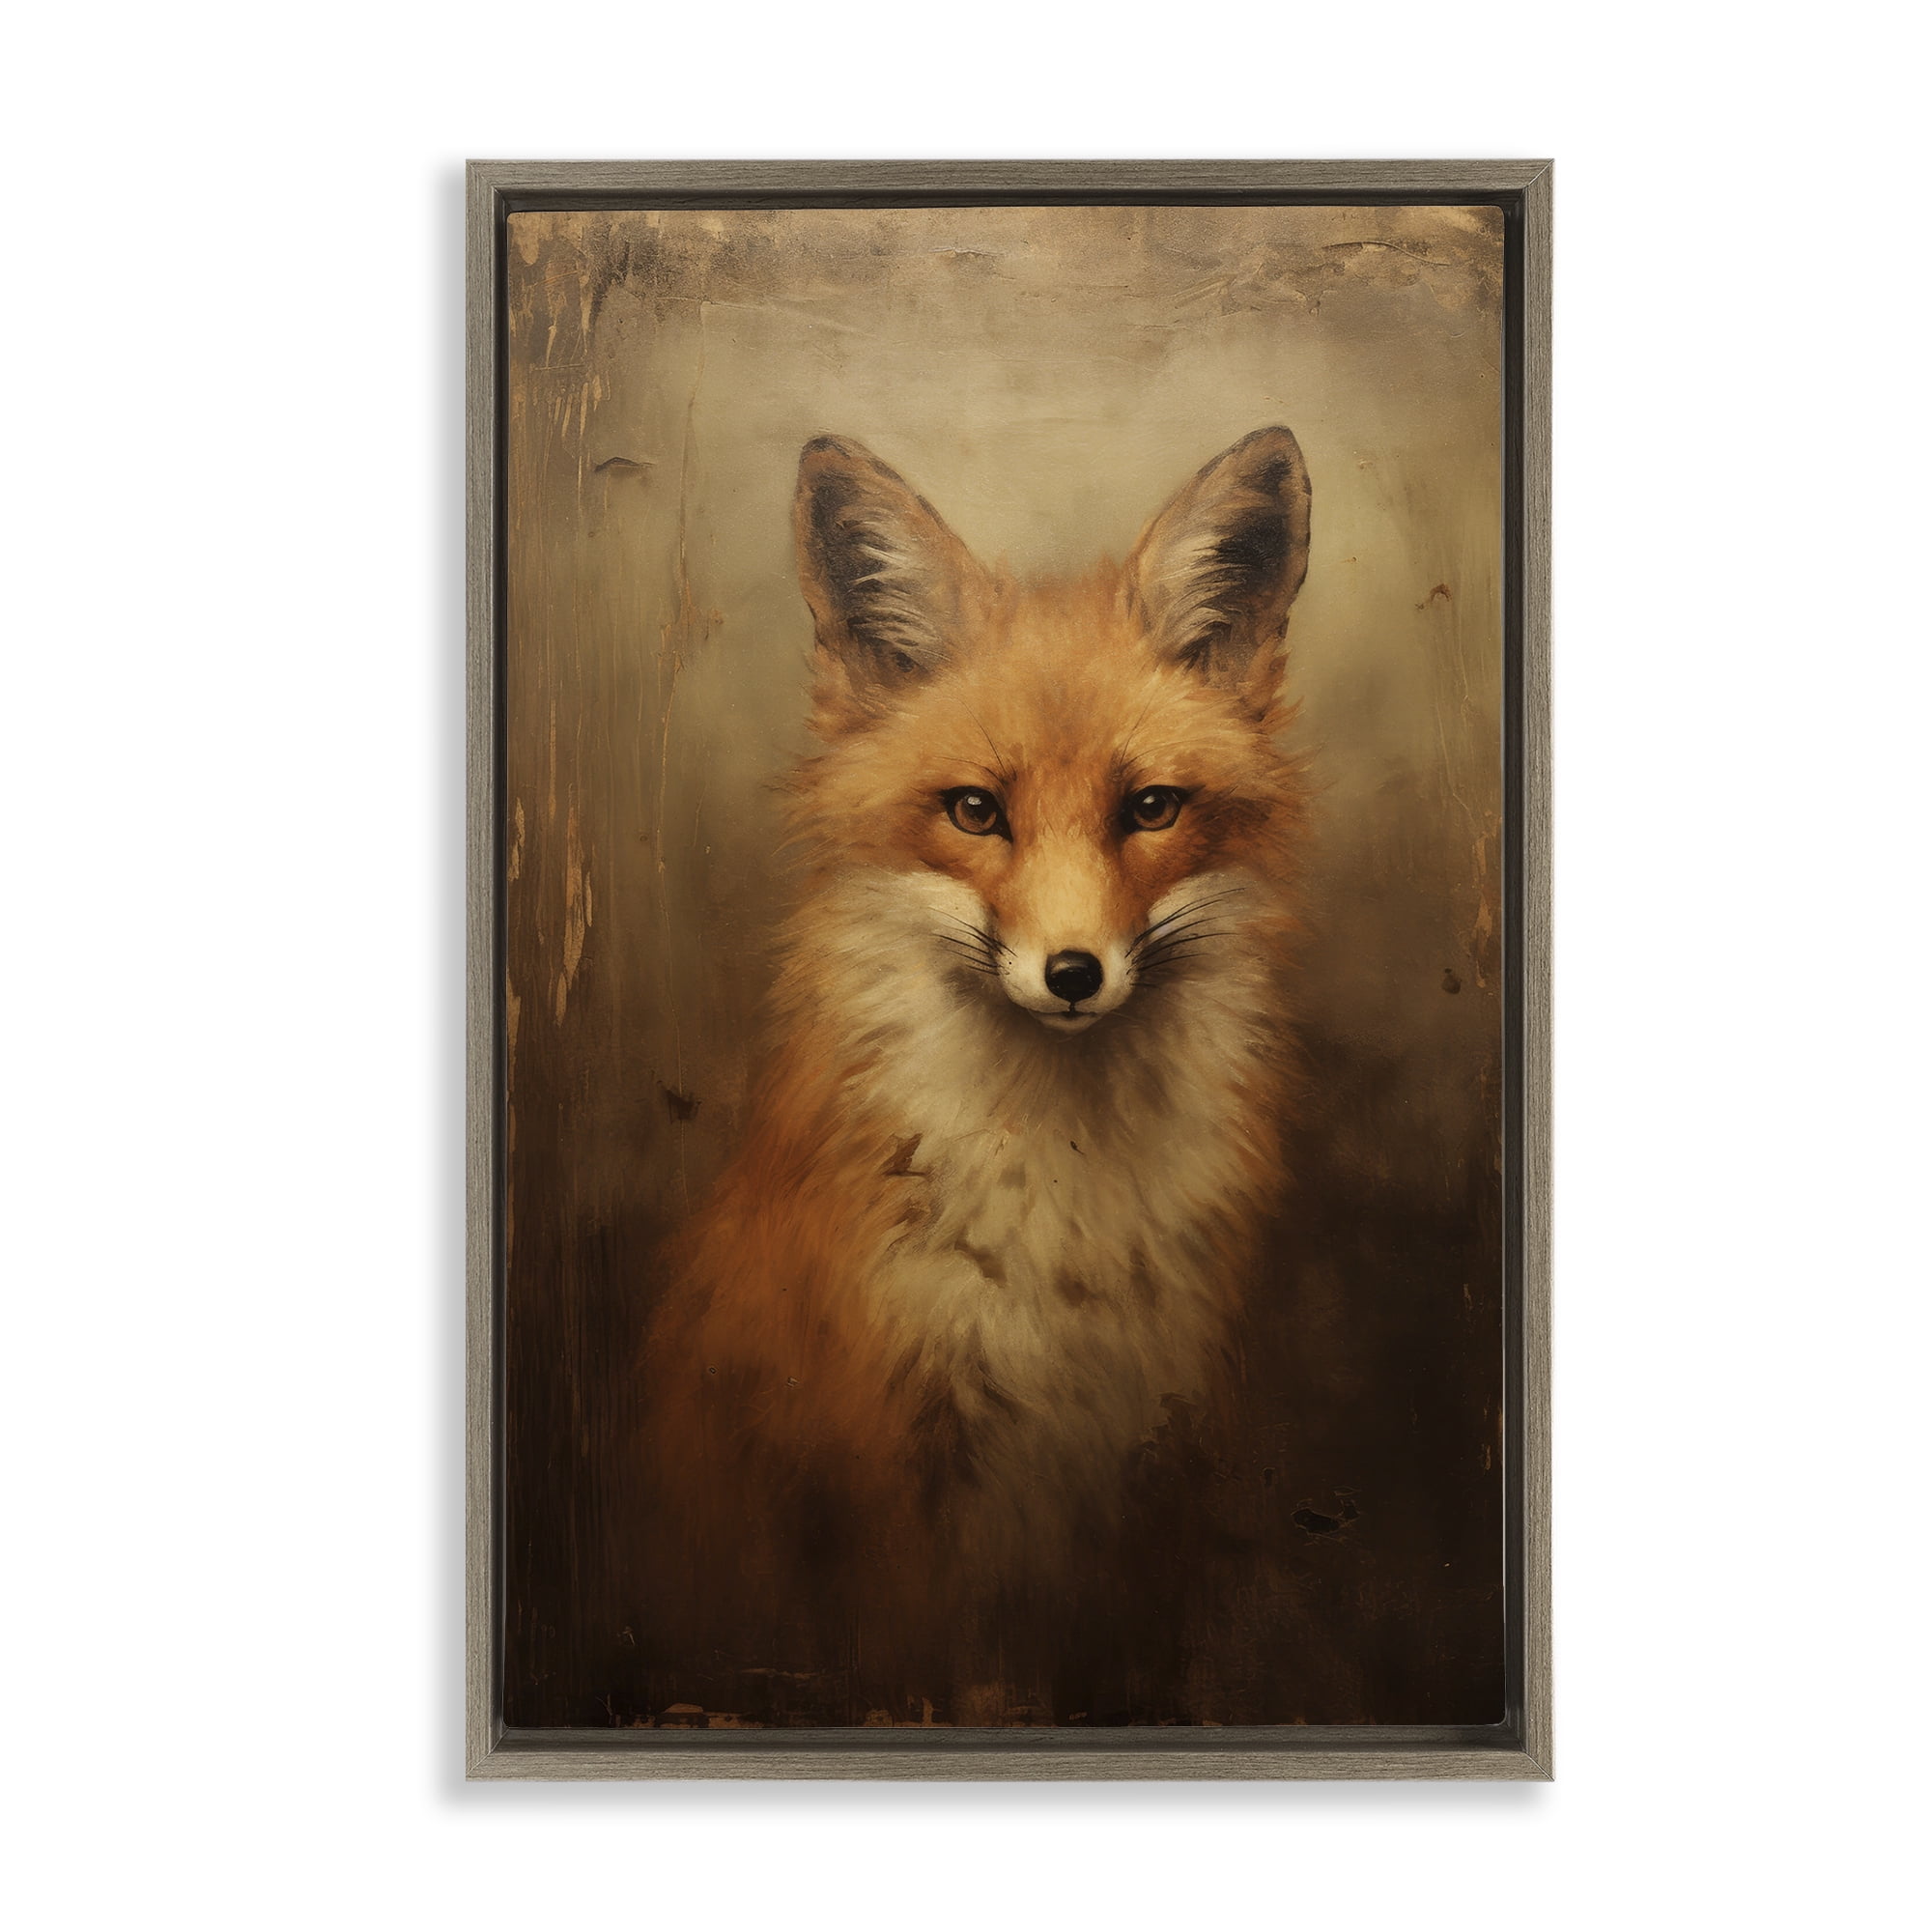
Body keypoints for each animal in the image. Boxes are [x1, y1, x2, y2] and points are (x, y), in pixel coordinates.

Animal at [642, 426, 1313, 1686]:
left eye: (1150, 807)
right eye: (973, 811)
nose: (1072, 972)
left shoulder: (1159, 1449)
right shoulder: (886, 1463)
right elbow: (929, 1673)